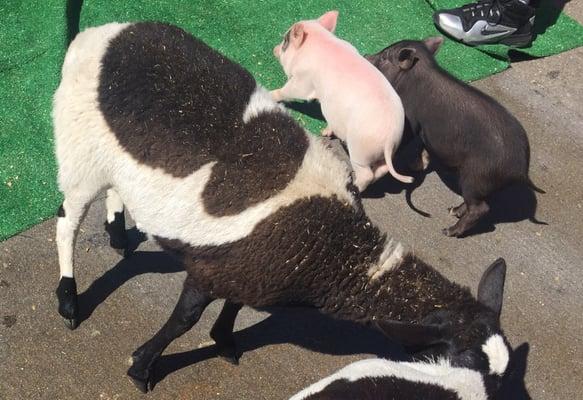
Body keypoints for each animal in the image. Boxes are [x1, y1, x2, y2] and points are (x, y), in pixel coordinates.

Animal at [53, 21, 512, 394]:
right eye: (463, 359)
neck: (333, 249)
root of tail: (98, 34)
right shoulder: (212, 267)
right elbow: (184, 320)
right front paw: (142, 367)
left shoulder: (249, 270)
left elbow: (234, 306)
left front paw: (225, 342)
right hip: (78, 147)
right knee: (67, 221)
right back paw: (69, 302)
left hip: (106, 157)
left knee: (113, 189)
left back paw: (117, 232)